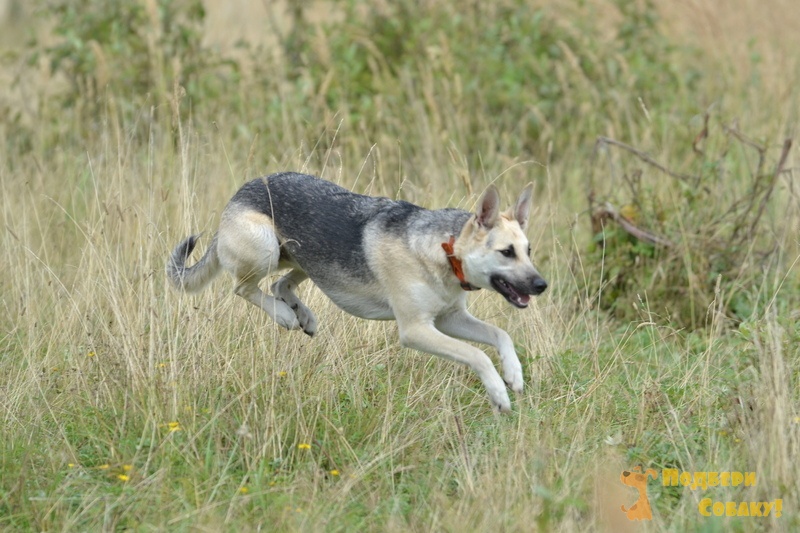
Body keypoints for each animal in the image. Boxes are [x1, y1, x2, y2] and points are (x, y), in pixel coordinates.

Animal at [166, 172, 548, 414]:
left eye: (529, 251)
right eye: (506, 252)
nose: (541, 285)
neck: (445, 249)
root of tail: (239, 194)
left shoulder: (449, 319)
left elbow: (500, 335)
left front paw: (514, 374)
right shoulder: (416, 330)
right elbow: (477, 355)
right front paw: (499, 394)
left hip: (305, 259)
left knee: (280, 284)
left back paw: (303, 314)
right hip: (265, 250)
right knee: (244, 287)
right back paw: (284, 314)